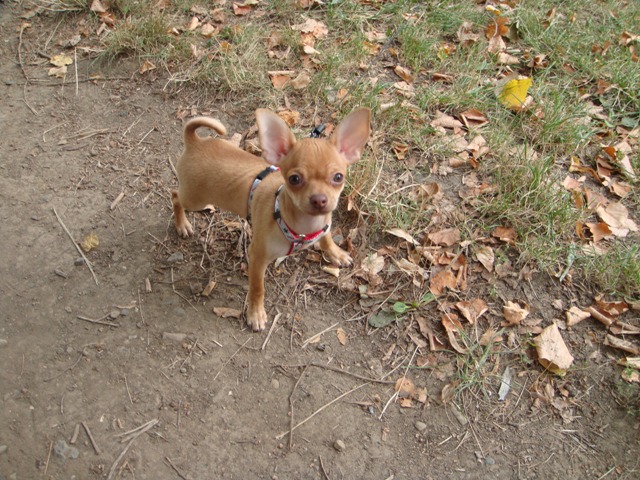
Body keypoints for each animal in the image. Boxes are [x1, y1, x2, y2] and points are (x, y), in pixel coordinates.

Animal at [171, 108, 371, 331]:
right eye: (294, 179)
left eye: (338, 177)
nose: (319, 199)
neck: (304, 226)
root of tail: (195, 141)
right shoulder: (257, 258)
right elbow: (257, 289)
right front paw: (255, 314)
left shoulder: (325, 225)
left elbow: (326, 239)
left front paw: (337, 254)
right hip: (195, 199)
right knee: (175, 196)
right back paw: (182, 224)